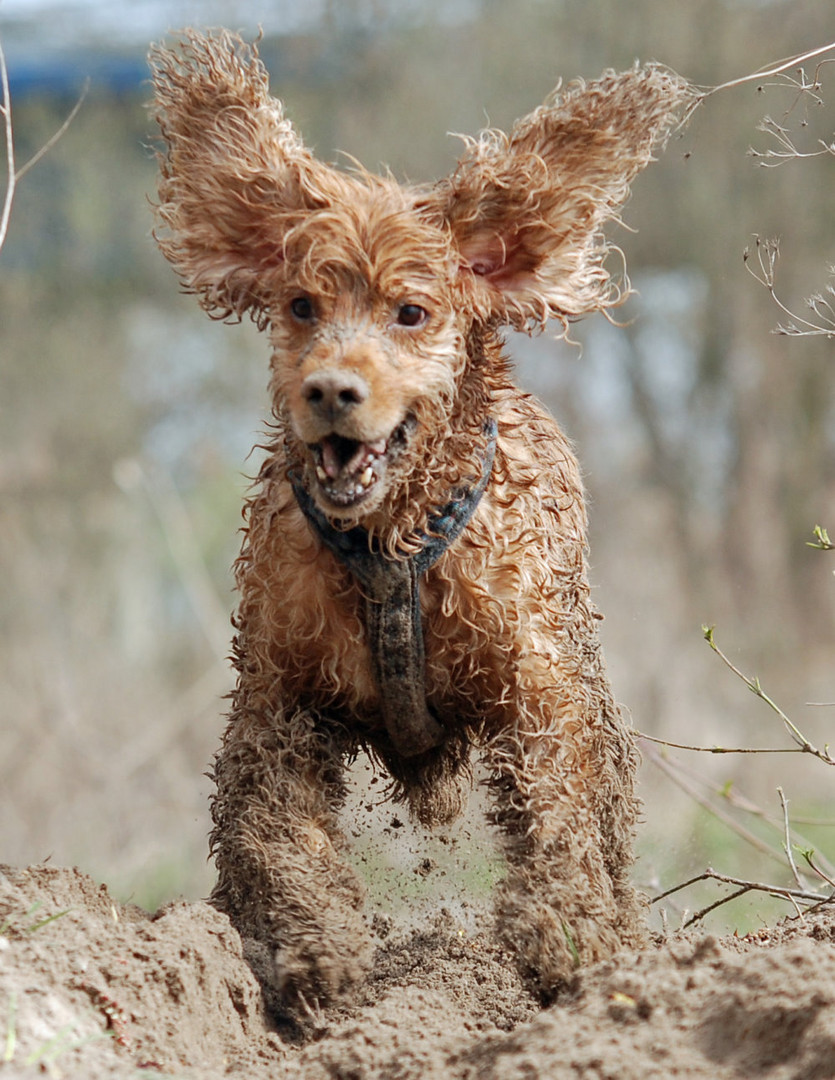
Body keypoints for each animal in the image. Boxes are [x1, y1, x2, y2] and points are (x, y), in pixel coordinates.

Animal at [150, 31, 691, 1010]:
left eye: (410, 312)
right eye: (301, 306)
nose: (331, 390)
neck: (388, 543)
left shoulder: (536, 684)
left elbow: (555, 805)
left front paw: (563, 934)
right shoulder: (275, 704)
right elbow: (275, 831)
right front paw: (315, 945)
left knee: (605, 822)